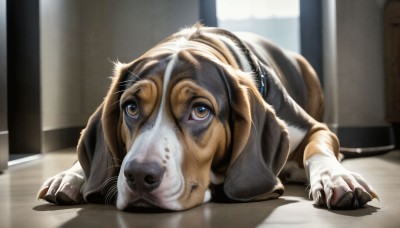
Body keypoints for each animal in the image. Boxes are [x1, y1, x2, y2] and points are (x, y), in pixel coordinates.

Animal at [37, 25, 378, 210]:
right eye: (131, 107)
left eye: (201, 111)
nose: (138, 176)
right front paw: (72, 175)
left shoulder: (315, 129)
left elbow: (317, 149)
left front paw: (336, 178)